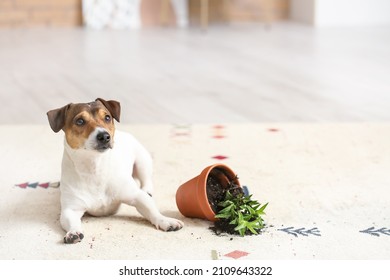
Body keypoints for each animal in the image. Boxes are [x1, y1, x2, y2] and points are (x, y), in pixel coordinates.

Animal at [46, 98, 184, 243]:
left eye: (107, 117)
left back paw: (147, 190)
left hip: (142, 161)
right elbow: (71, 221)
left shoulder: (136, 196)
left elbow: (152, 210)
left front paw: (166, 221)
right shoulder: (71, 209)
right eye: (80, 121)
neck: (95, 167)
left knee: (146, 179)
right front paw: (73, 232)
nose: (104, 136)